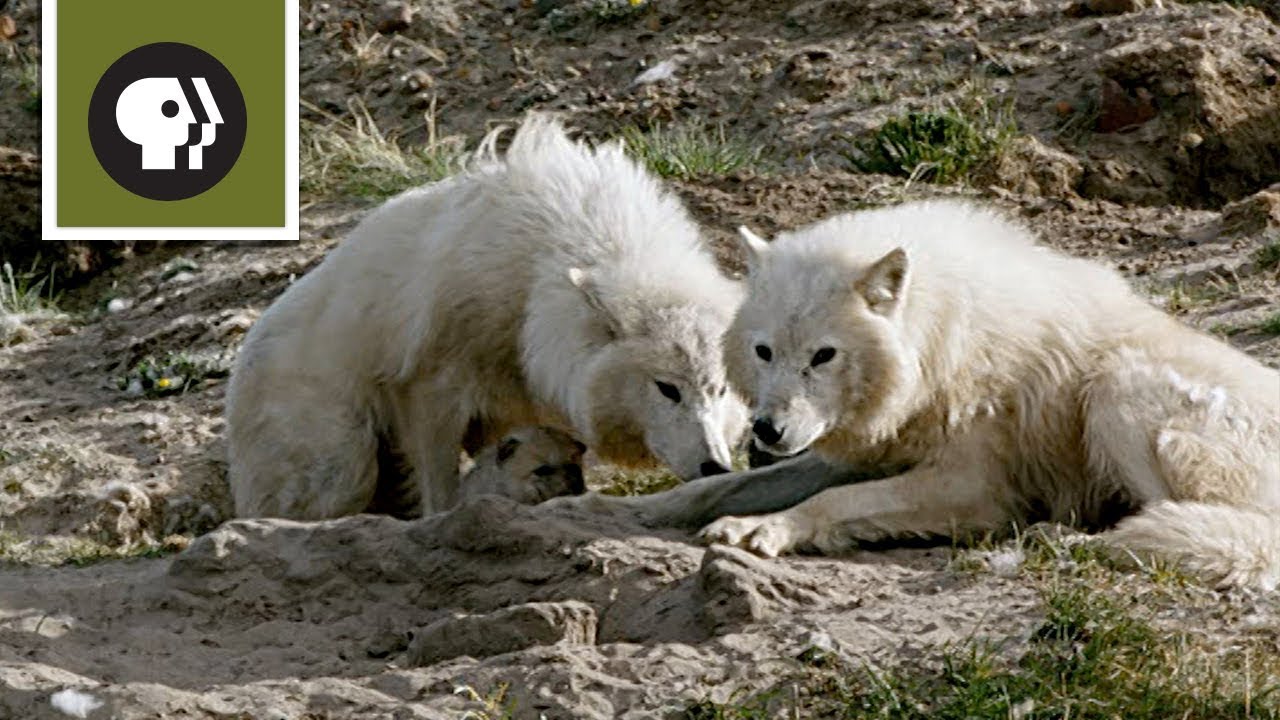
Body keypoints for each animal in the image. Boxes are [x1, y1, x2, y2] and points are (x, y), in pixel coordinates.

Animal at [226, 113, 747, 515]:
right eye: (666, 389)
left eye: (719, 390)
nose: (716, 466)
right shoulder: (431, 393)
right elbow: (440, 491)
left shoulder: (502, 413)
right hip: (345, 464)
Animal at [570, 197, 1280, 589]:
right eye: (765, 351)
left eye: (824, 356)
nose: (766, 430)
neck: (937, 343)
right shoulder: (849, 452)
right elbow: (722, 486)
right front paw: (617, 510)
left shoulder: (973, 485)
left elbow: (833, 503)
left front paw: (763, 531)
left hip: (1115, 390)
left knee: (1217, 530)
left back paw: (1072, 541)